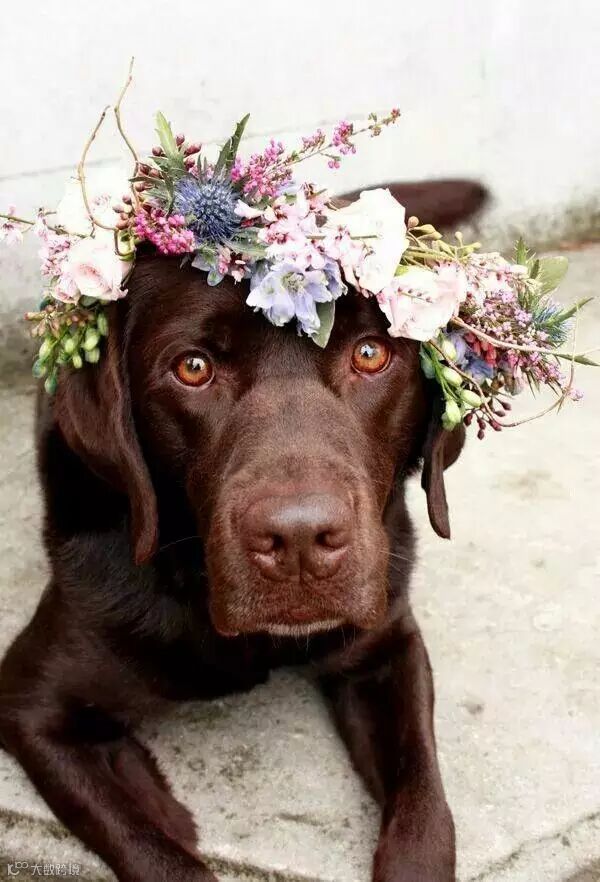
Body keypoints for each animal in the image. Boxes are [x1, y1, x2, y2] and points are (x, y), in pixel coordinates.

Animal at [0, 182, 483, 882]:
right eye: (193, 368)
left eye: (371, 354)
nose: (300, 542)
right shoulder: (28, 702)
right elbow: (151, 853)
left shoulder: (389, 644)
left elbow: (425, 810)